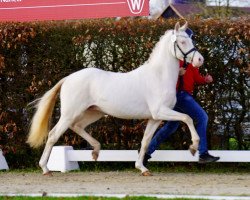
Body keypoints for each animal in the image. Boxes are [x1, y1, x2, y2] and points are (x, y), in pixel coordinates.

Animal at [27, 21, 203, 176]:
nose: (200, 60)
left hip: (94, 112)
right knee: (53, 135)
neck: (159, 76)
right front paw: (194, 146)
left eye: (191, 40)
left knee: (77, 126)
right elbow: (187, 118)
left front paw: (142, 168)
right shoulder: (161, 111)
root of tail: (68, 78)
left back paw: (96, 151)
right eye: (182, 41)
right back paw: (45, 169)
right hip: (70, 114)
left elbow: (145, 141)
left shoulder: (155, 118)